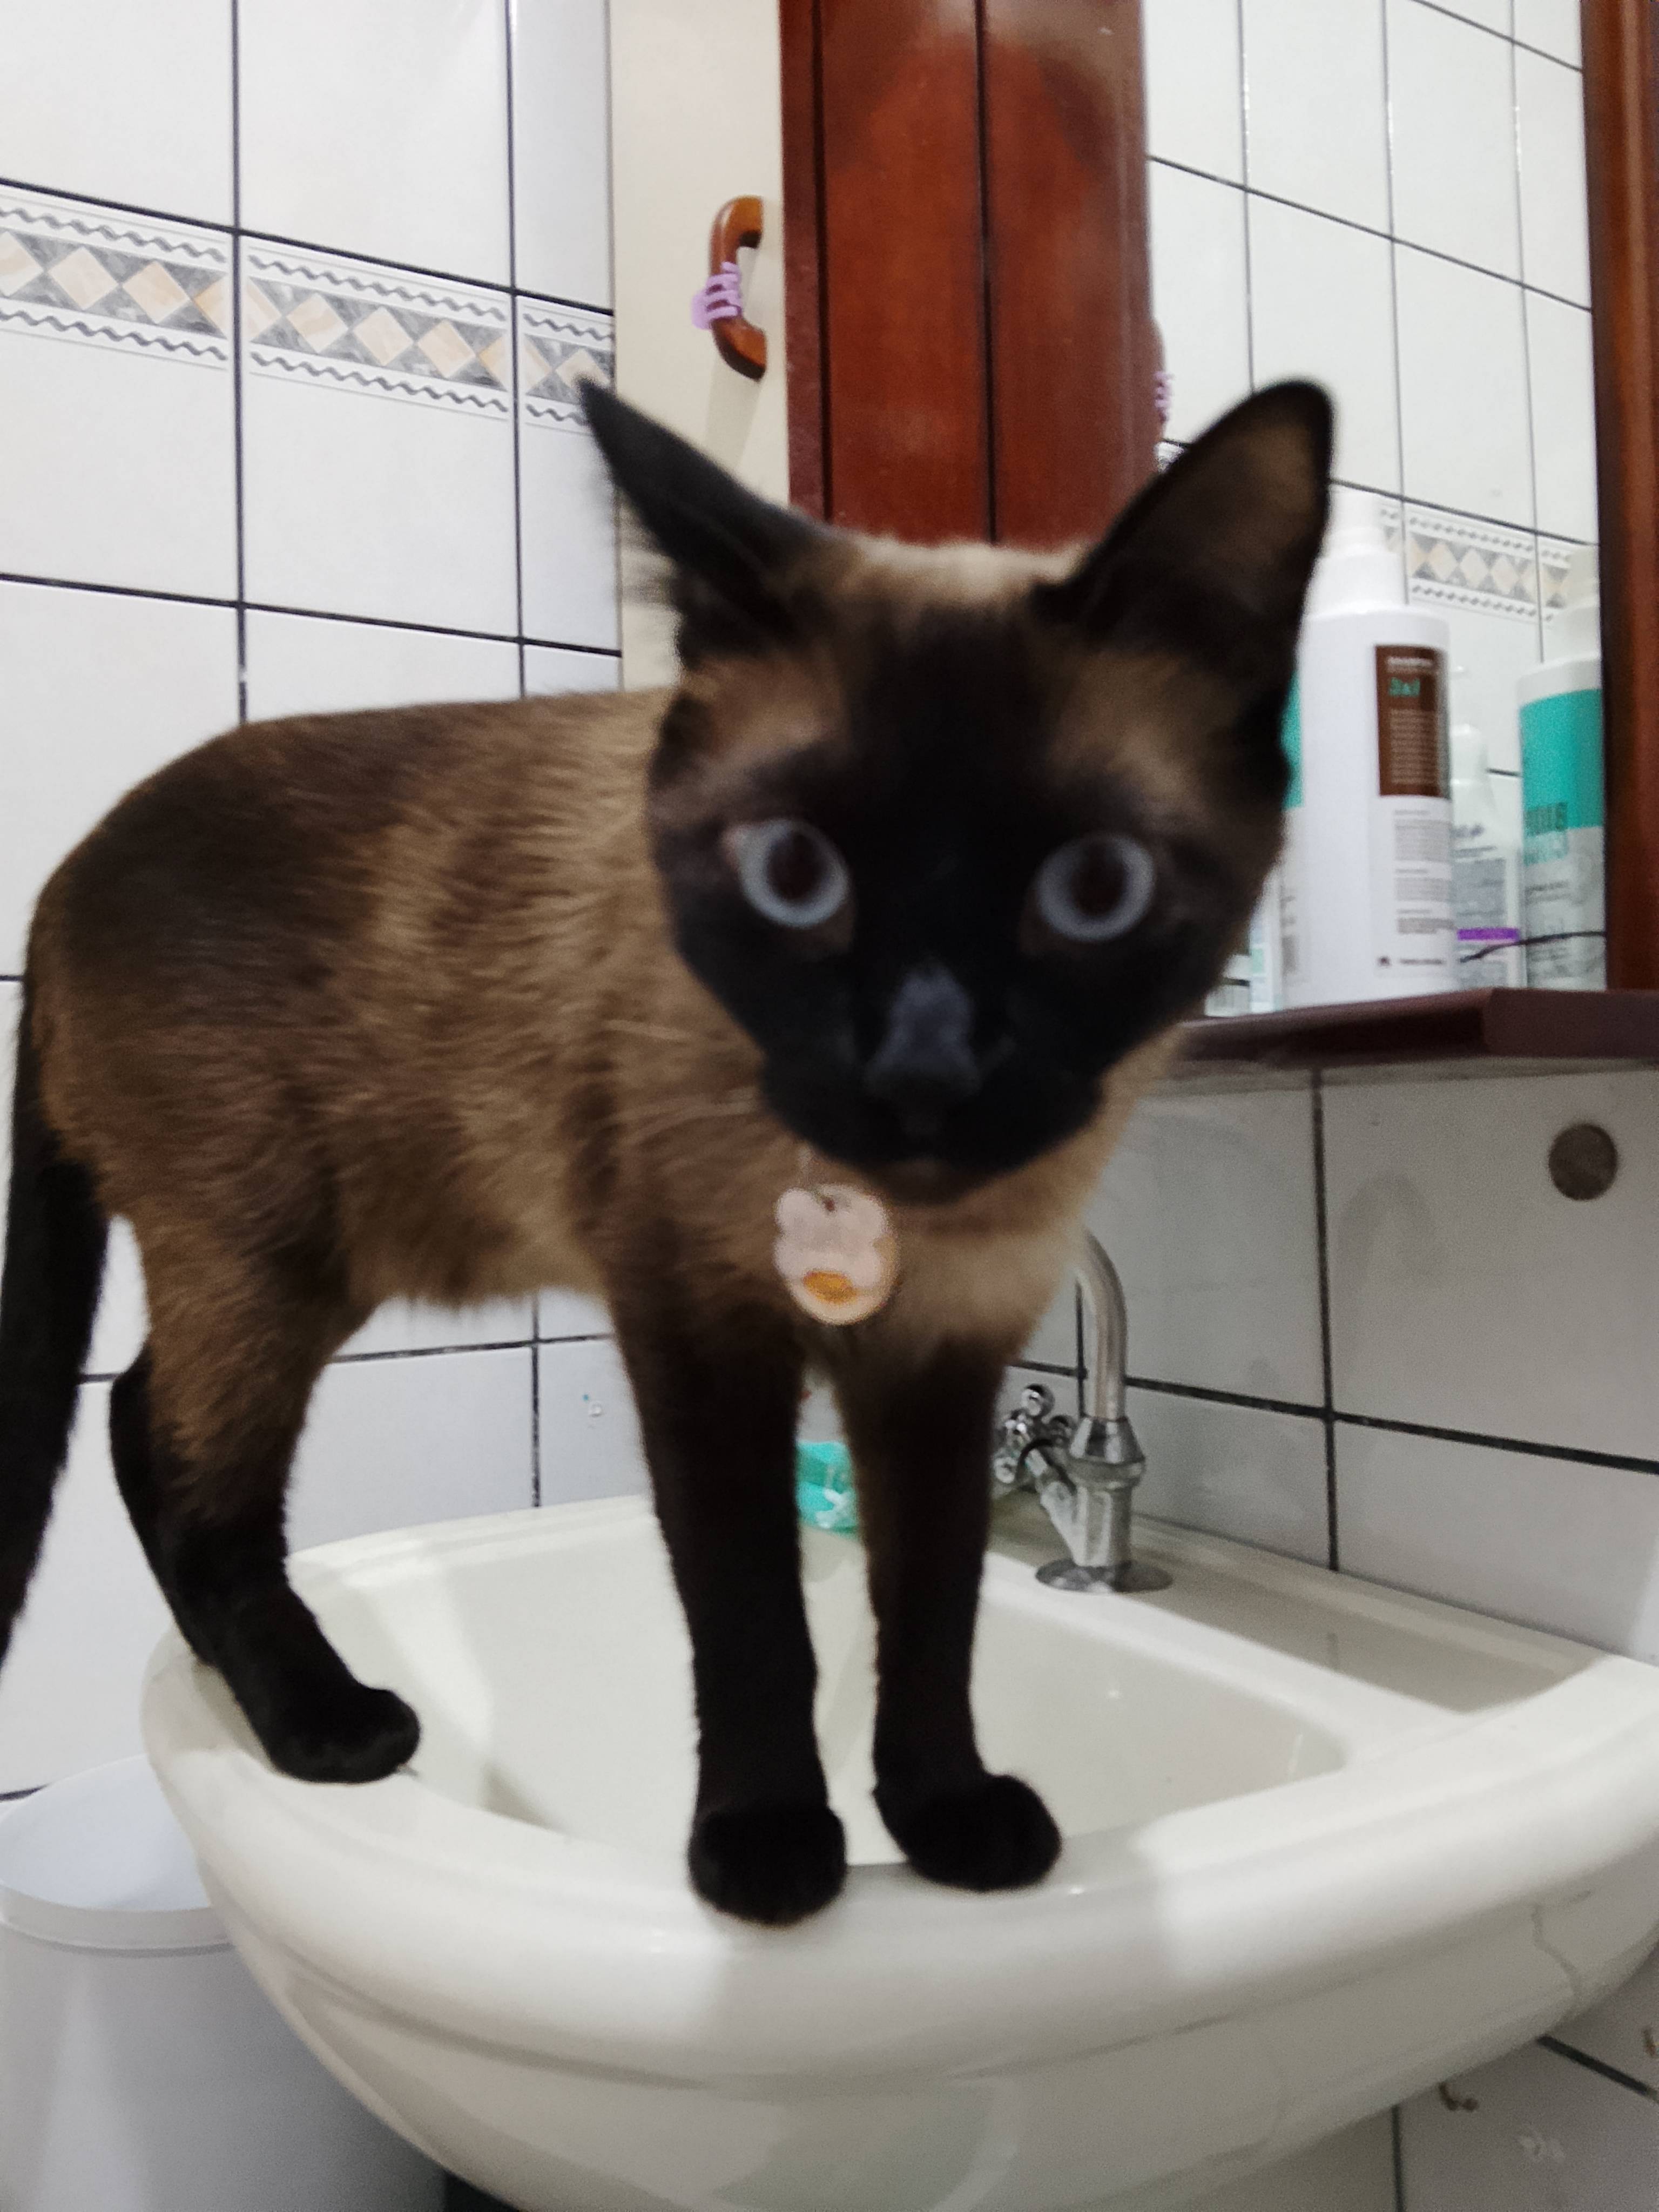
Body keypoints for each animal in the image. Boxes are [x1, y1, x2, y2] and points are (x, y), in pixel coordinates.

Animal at [0, 378, 1331, 1926]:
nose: (921, 1071)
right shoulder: (700, 1337)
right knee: (182, 1460)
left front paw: (944, 1821)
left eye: (1094, 888)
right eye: (793, 875)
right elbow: (752, 1617)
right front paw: (769, 1853)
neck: (897, 1218)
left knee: (139, 1417)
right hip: (271, 1252)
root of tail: (62, 871)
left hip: (316, 1257)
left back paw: (247, 1682)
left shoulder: (940, 1361)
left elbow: (930, 1611)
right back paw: (327, 1725)